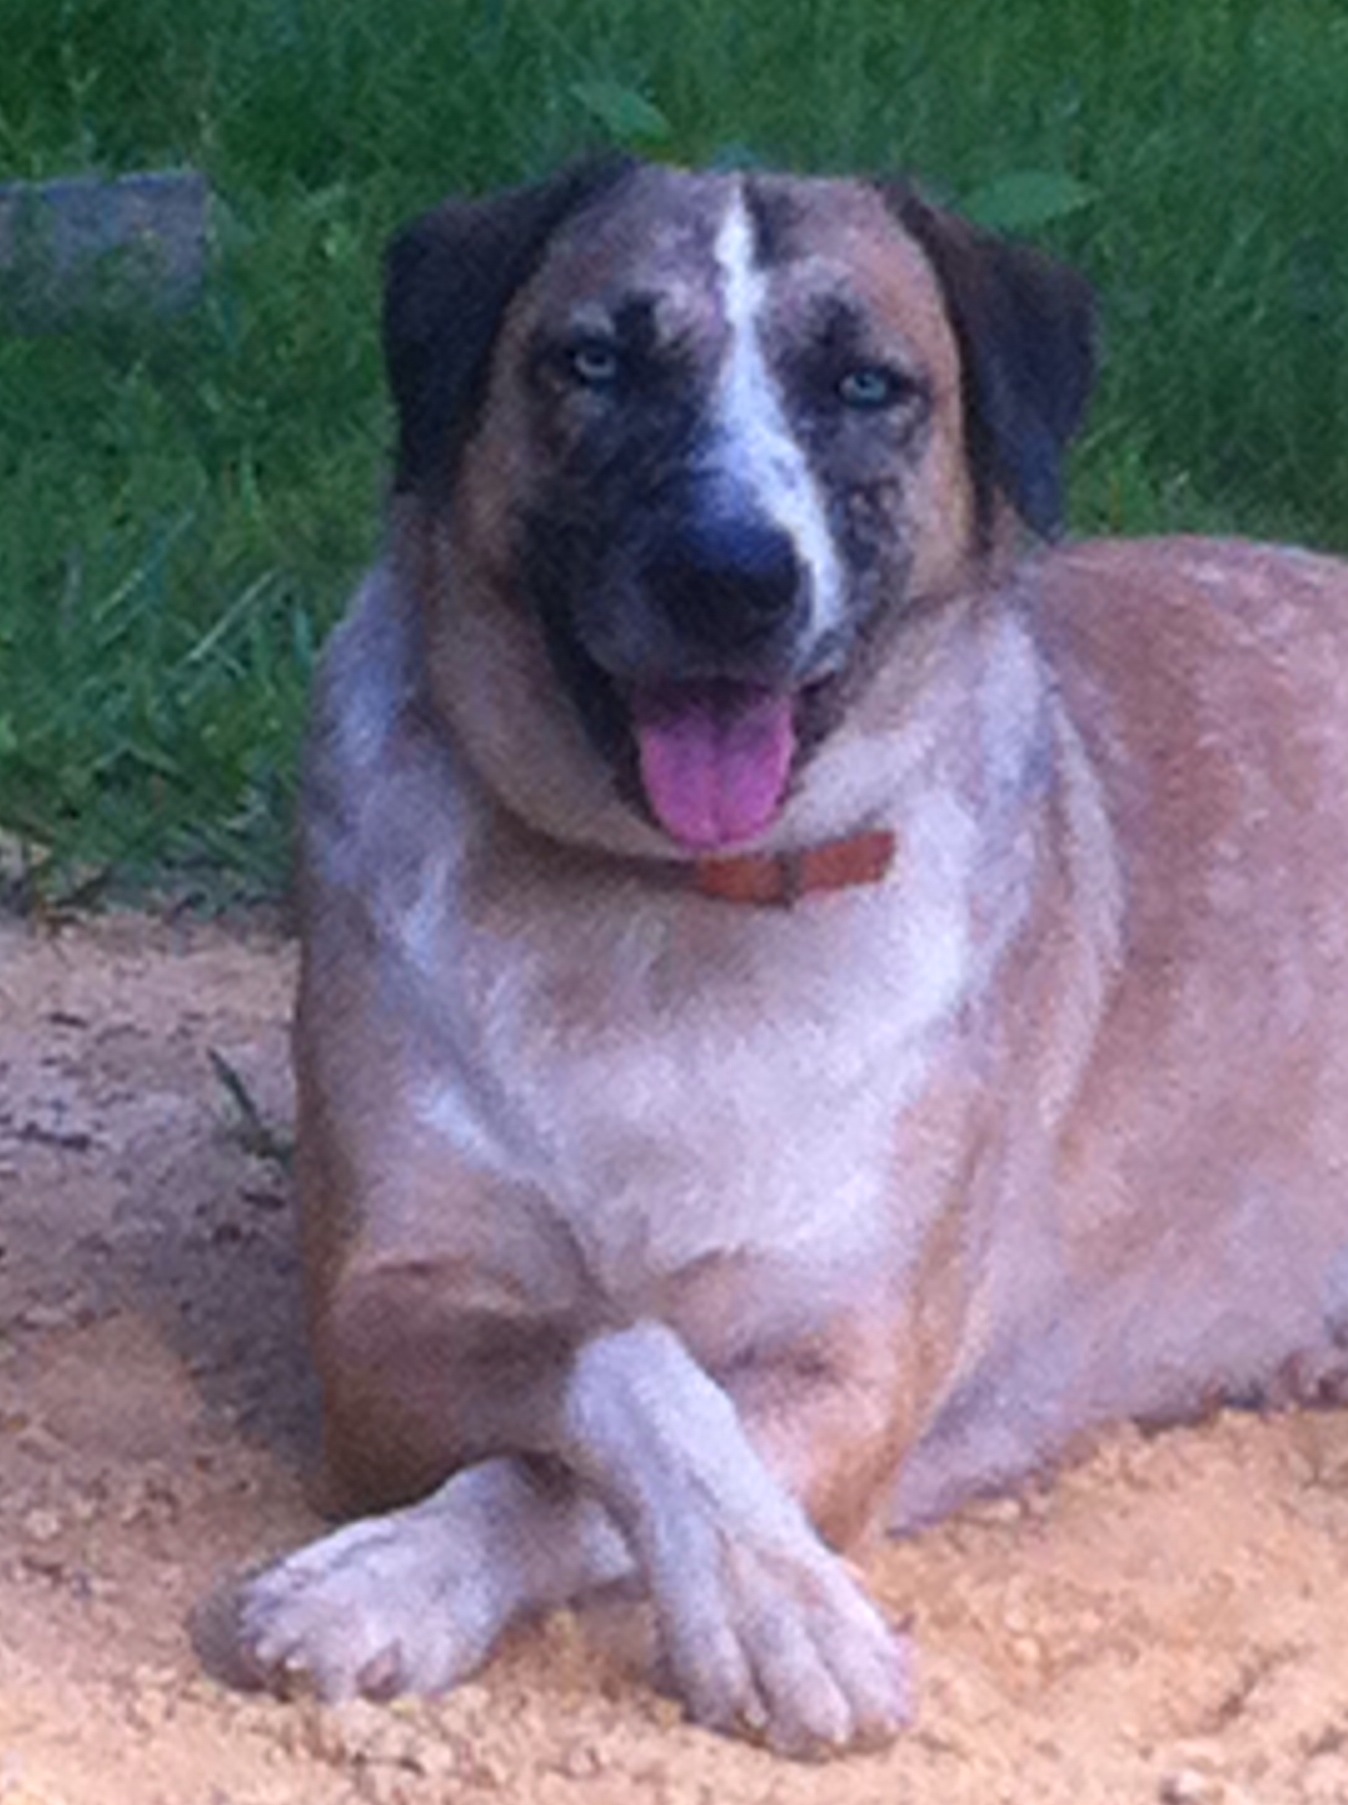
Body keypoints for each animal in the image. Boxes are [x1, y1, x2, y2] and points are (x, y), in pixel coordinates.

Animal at [233, 157, 1348, 1756]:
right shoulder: (377, 1299)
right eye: (593, 360)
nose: (730, 577)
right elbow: (623, 1360)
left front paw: (768, 1610)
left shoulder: (855, 1365)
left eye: (868, 384)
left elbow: (581, 1470)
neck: (670, 907)